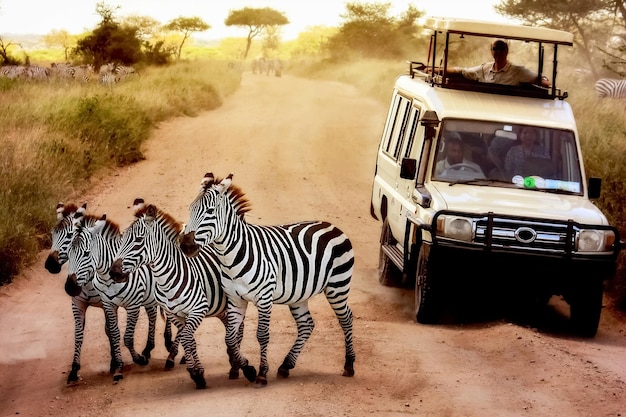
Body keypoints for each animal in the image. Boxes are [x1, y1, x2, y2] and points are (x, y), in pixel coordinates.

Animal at [66, 210, 174, 382]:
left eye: (86, 253)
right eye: (68, 254)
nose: (70, 287)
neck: (106, 277)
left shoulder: (133, 305)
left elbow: (127, 337)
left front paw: (138, 360)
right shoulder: (105, 305)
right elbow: (112, 334)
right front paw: (118, 367)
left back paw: (169, 347)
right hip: (149, 298)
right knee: (153, 315)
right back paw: (149, 348)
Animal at [108, 200, 243, 388]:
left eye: (138, 240)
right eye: (122, 240)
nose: (114, 273)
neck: (167, 279)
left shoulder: (197, 310)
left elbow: (186, 338)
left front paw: (196, 373)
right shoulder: (174, 314)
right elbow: (189, 340)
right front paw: (197, 373)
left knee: (239, 329)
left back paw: (236, 366)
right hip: (220, 308)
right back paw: (233, 361)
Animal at [180, 173, 356, 386]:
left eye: (210, 211)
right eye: (190, 209)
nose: (185, 245)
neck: (232, 255)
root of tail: (332, 226)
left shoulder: (264, 297)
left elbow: (262, 335)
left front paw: (262, 373)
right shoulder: (235, 299)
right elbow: (230, 338)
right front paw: (248, 368)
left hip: (337, 286)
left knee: (346, 319)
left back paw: (349, 365)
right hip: (299, 295)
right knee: (307, 324)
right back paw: (286, 365)